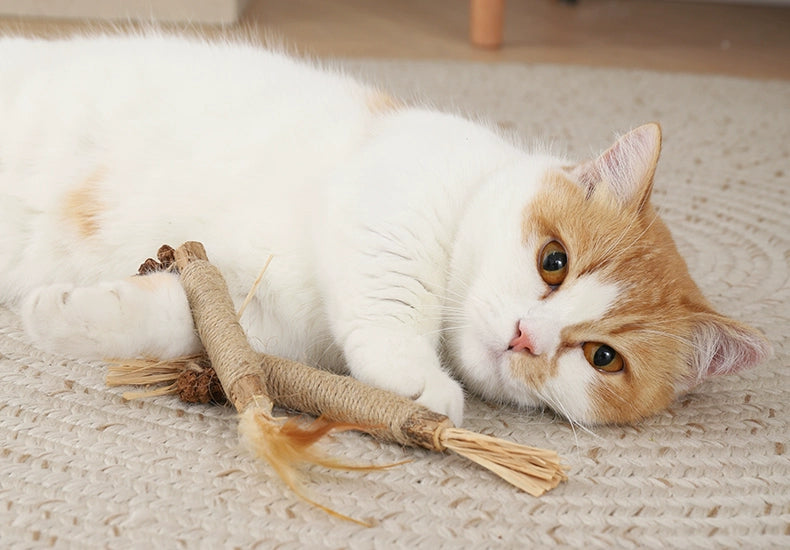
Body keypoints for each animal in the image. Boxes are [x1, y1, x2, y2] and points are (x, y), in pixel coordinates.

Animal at [0, 32, 772, 430]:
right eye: (554, 261)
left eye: (603, 358)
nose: (528, 338)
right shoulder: (395, 195)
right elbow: (395, 294)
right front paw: (417, 377)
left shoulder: (256, 312)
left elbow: (182, 319)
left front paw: (60, 314)